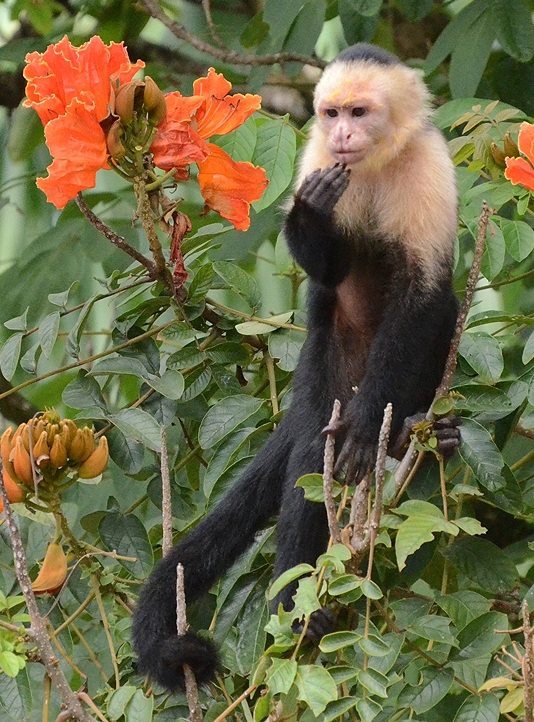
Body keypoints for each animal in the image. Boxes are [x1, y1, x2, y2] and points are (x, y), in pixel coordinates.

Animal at [132, 42, 462, 688]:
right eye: (330, 113)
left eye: (358, 112)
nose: (341, 134)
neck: (375, 164)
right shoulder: (314, 159)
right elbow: (328, 270)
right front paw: (311, 214)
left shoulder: (431, 165)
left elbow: (423, 293)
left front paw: (369, 426)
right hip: (322, 368)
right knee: (312, 454)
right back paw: (296, 609)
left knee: (441, 313)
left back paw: (412, 430)